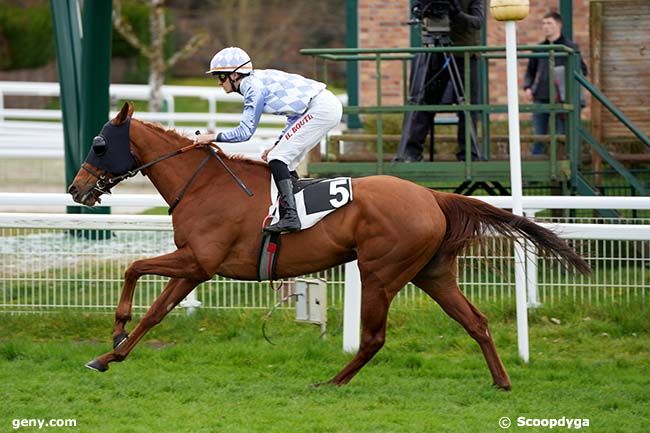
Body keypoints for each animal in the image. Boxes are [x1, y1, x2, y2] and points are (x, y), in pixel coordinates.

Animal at [68, 103, 588, 390]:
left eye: (98, 144)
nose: (77, 189)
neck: (202, 184)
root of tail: (434, 196)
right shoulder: (196, 268)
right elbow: (156, 311)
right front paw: (110, 354)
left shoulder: (199, 260)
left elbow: (134, 268)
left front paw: (114, 334)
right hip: (433, 273)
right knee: (475, 322)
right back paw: (501, 380)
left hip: (381, 273)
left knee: (374, 338)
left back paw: (332, 382)